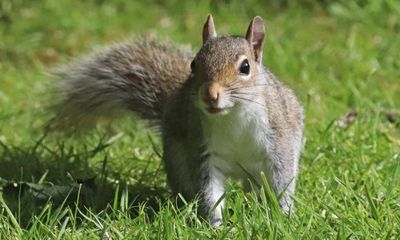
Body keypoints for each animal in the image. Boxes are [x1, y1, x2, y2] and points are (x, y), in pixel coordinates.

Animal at [51, 15, 304, 225]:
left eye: (245, 67)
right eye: (194, 64)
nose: (210, 95)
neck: (233, 114)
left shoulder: (279, 140)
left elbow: (282, 180)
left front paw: (284, 215)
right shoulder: (202, 151)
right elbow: (209, 191)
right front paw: (216, 225)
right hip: (177, 158)